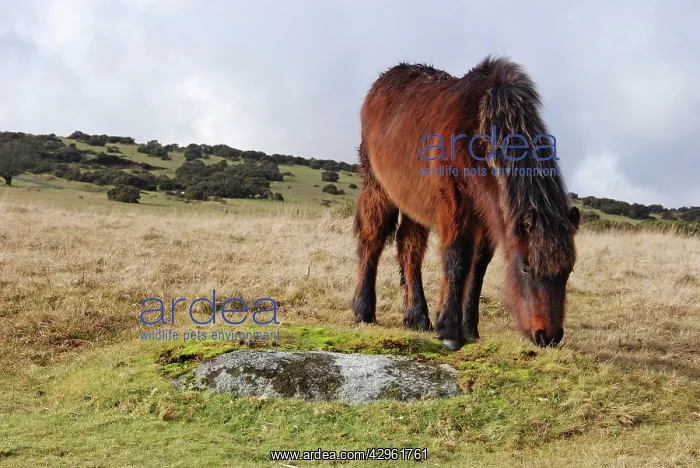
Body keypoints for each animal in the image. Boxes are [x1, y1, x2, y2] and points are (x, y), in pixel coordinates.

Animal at [351, 56, 580, 351]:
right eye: (526, 267)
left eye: (568, 270)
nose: (548, 337)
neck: (478, 132)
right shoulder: (454, 204)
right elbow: (456, 258)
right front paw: (450, 330)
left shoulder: (488, 216)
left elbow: (478, 268)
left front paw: (470, 328)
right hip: (377, 189)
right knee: (372, 240)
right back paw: (363, 312)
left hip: (414, 204)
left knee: (409, 248)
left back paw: (417, 318)